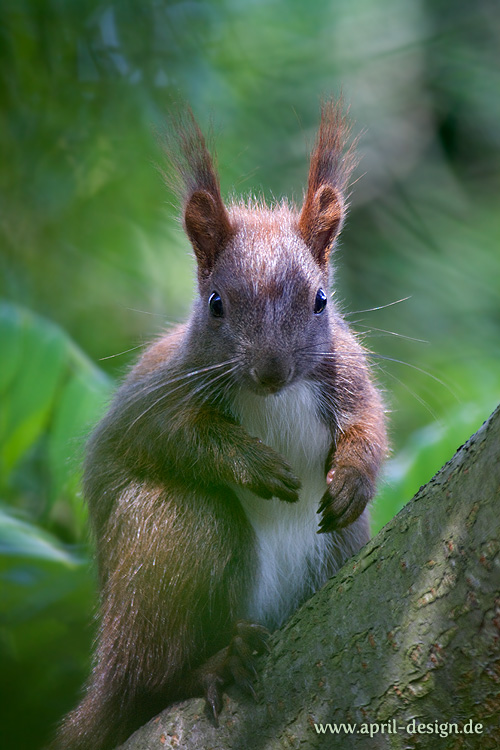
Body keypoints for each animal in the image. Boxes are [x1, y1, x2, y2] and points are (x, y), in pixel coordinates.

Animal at [54, 100, 388, 750]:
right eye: (215, 304)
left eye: (321, 300)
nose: (271, 370)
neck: (273, 399)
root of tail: (107, 669)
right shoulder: (156, 399)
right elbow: (176, 437)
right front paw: (253, 463)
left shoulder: (350, 375)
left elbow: (371, 427)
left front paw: (354, 478)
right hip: (176, 538)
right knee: (150, 680)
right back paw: (213, 664)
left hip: (335, 549)